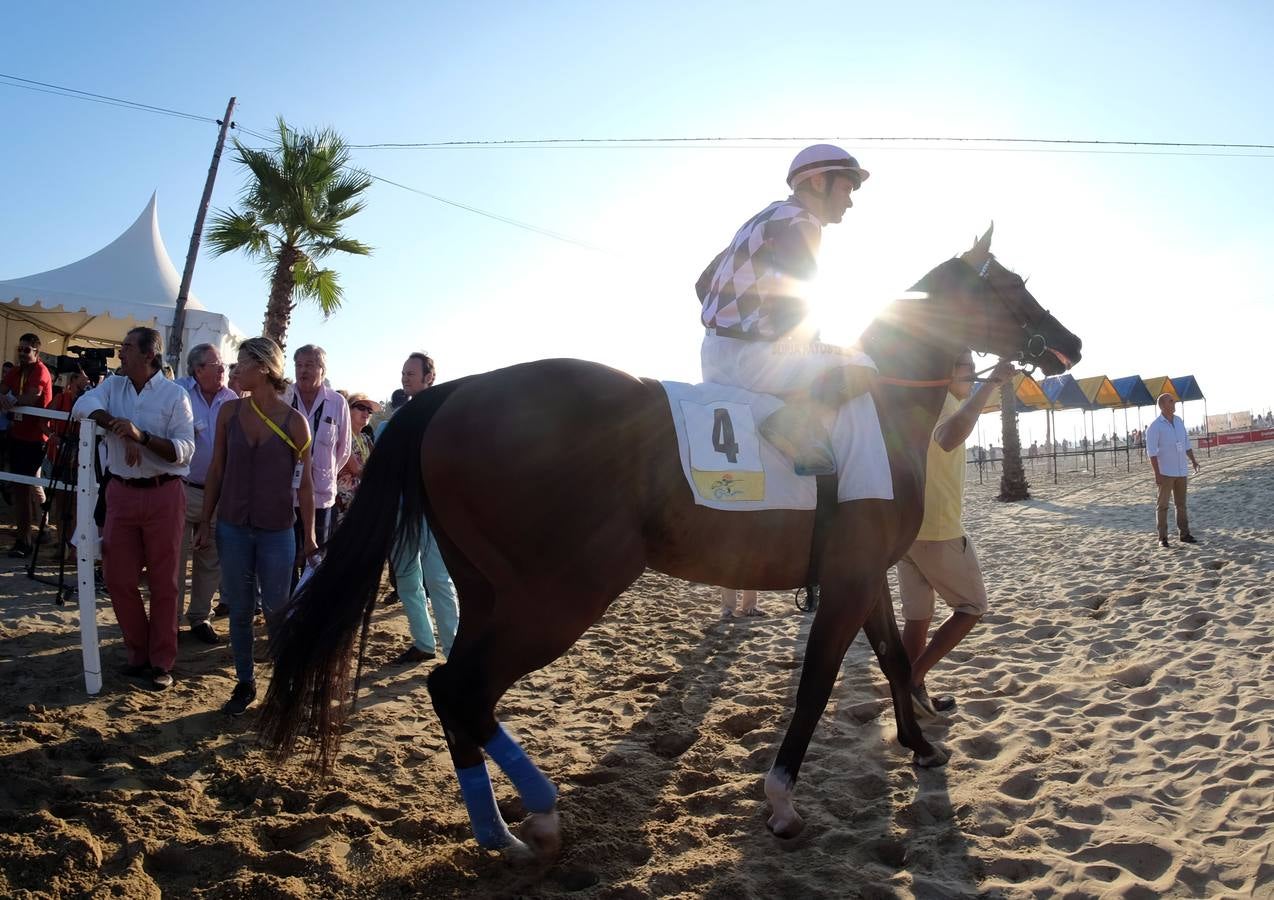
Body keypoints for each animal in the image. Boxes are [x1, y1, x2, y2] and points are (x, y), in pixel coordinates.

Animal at [258, 224, 1085, 856]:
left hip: (493, 590)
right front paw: (781, 799)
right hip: (565, 595)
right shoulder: (848, 581)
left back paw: (501, 830)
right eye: (1011, 286)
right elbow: (818, 684)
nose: (1070, 342)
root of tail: (455, 390)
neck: (879, 403)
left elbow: (891, 658)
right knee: (463, 688)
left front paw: (919, 744)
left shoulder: (865, 574)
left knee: (453, 690)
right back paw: (541, 811)